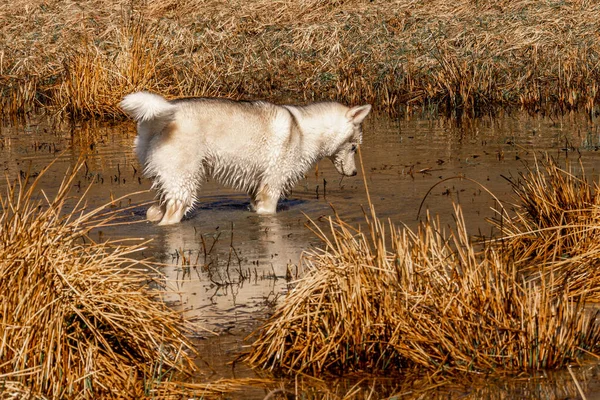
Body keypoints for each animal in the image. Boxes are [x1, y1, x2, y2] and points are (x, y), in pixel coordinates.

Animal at [120, 92, 370, 227]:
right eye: (354, 147)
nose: (354, 173)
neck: (303, 130)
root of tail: (161, 116)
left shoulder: (255, 191)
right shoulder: (271, 189)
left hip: (165, 185)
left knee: (153, 212)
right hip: (183, 188)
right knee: (169, 220)